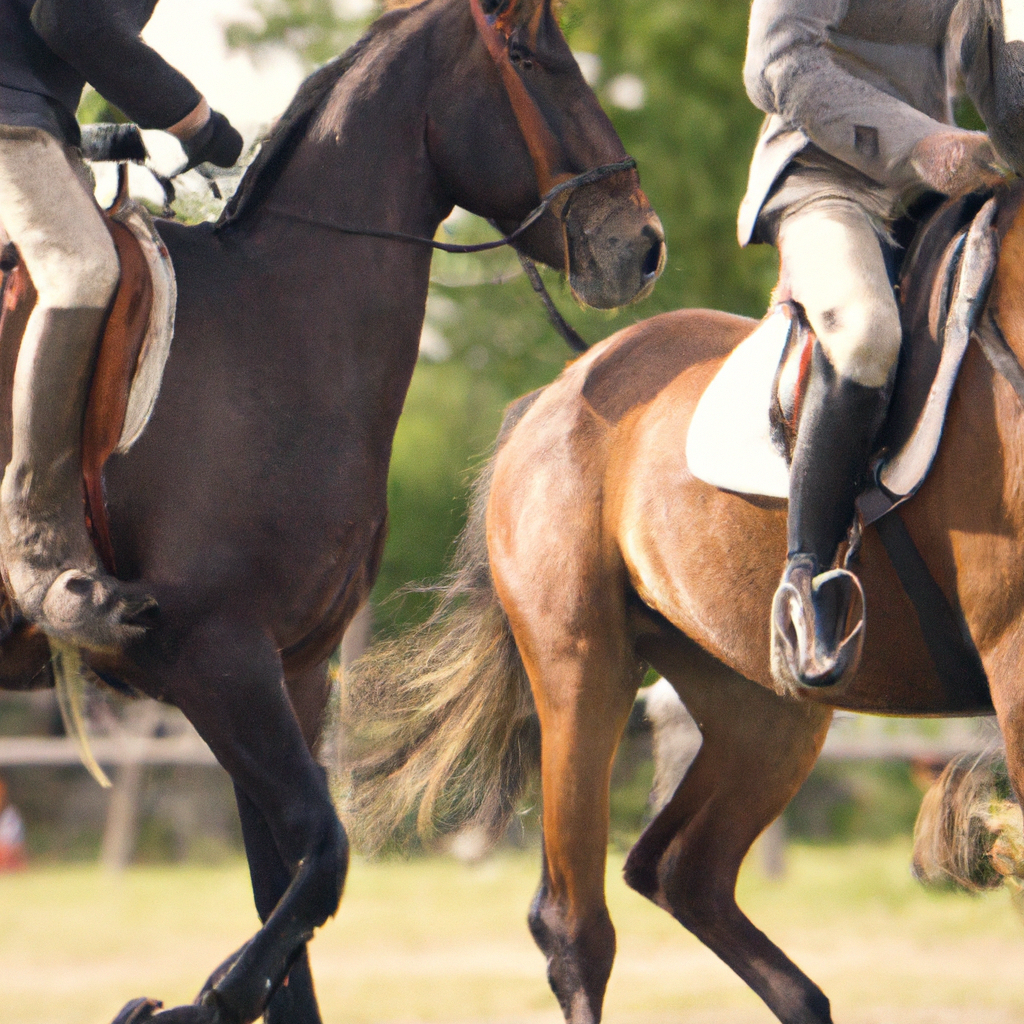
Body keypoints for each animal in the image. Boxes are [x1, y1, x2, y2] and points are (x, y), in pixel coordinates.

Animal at [0, 2, 663, 1024]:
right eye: (529, 58)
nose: (642, 242)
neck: (279, 327)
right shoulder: (217, 656)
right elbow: (324, 859)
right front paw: (199, 1002)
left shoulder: (291, 671)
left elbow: (296, 893)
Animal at [346, 186, 1024, 1024]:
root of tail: (559, 388)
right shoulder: (1013, 663)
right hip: (583, 672)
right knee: (576, 921)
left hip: (764, 707)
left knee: (679, 868)